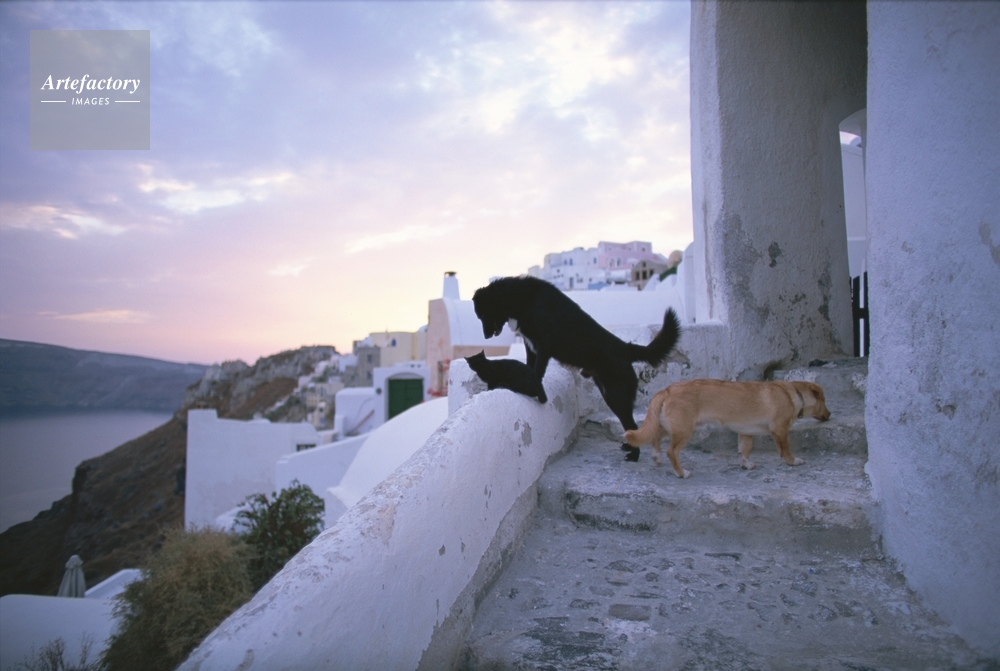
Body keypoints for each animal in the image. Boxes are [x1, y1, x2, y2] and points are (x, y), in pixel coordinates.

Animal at [472, 275, 681, 461]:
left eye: (483, 314)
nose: (486, 337)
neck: (521, 298)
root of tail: (624, 348)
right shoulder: (529, 345)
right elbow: (530, 368)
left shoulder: (543, 344)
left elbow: (537, 372)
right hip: (611, 397)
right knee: (628, 424)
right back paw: (629, 448)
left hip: (617, 396)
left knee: (632, 424)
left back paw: (634, 456)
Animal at [624, 379, 831, 478]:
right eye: (824, 400)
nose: (830, 415)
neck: (794, 394)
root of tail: (666, 390)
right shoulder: (780, 430)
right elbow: (786, 449)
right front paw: (793, 462)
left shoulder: (746, 433)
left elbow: (745, 450)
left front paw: (746, 464)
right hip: (684, 430)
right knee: (672, 451)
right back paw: (681, 473)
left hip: (673, 426)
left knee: (655, 436)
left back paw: (656, 458)